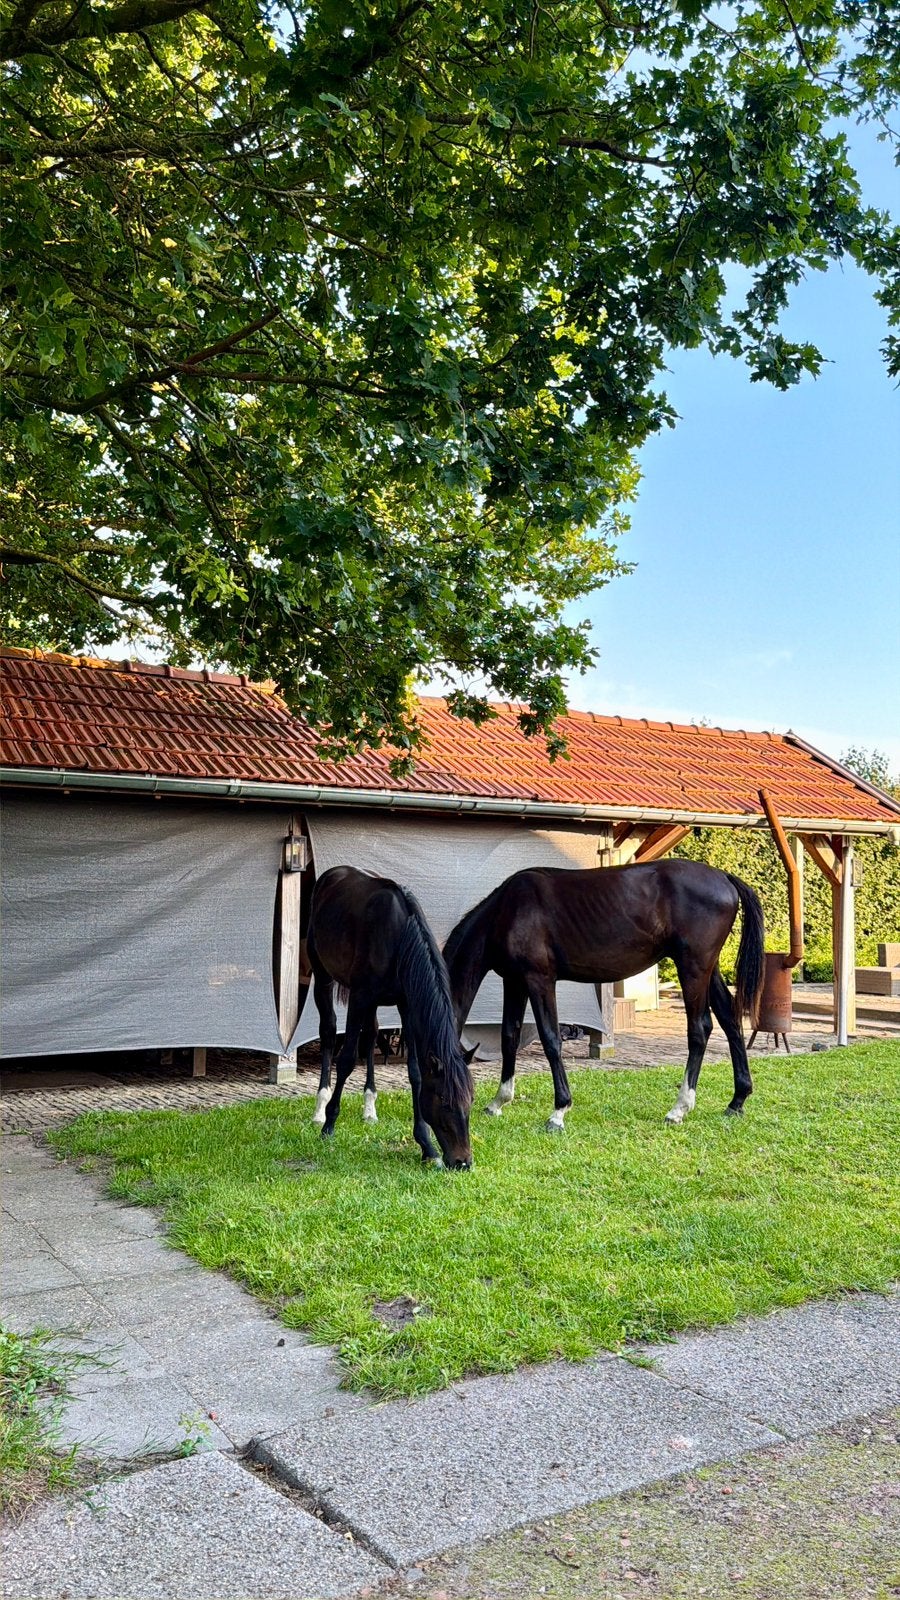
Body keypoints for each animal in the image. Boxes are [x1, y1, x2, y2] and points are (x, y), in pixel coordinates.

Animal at [306, 865, 474, 1168]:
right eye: (444, 1100)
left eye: (472, 1100)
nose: (463, 1162)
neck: (399, 936)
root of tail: (333, 874)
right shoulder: (359, 997)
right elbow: (346, 1060)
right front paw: (329, 1126)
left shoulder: (406, 1004)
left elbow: (415, 1072)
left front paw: (426, 1145)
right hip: (323, 976)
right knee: (328, 1032)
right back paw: (320, 1108)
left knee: (372, 1034)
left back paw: (369, 1107)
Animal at [443, 859, 765, 1131]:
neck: (507, 911)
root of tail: (724, 877)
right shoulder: (514, 981)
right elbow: (509, 1036)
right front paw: (499, 1102)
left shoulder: (539, 980)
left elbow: (550, 1039)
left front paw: (559, 1112)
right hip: (708, 970)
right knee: (730, 1021)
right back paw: (737, 1100)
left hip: (693, 968)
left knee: (700, 1029)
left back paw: (679, 1109)